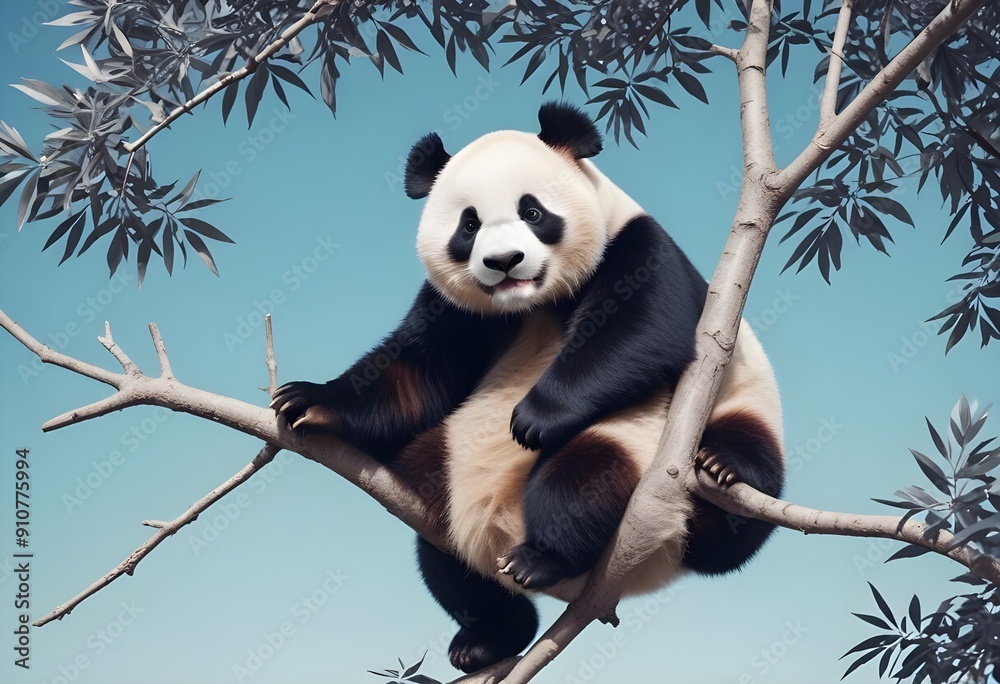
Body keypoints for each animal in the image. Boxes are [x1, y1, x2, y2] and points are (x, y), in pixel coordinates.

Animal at [271, 102, 784, 674]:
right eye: (469, 224)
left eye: (533, 212)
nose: (503, 261)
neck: (532, 304)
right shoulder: (455, 310)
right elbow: (413, 372)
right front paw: (313, 402)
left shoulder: (639, 247)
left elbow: (640, 331)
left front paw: (534, 418)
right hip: (445, 479)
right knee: (446, 565)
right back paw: (486, 639)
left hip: (687, 428)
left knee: (596, 482)